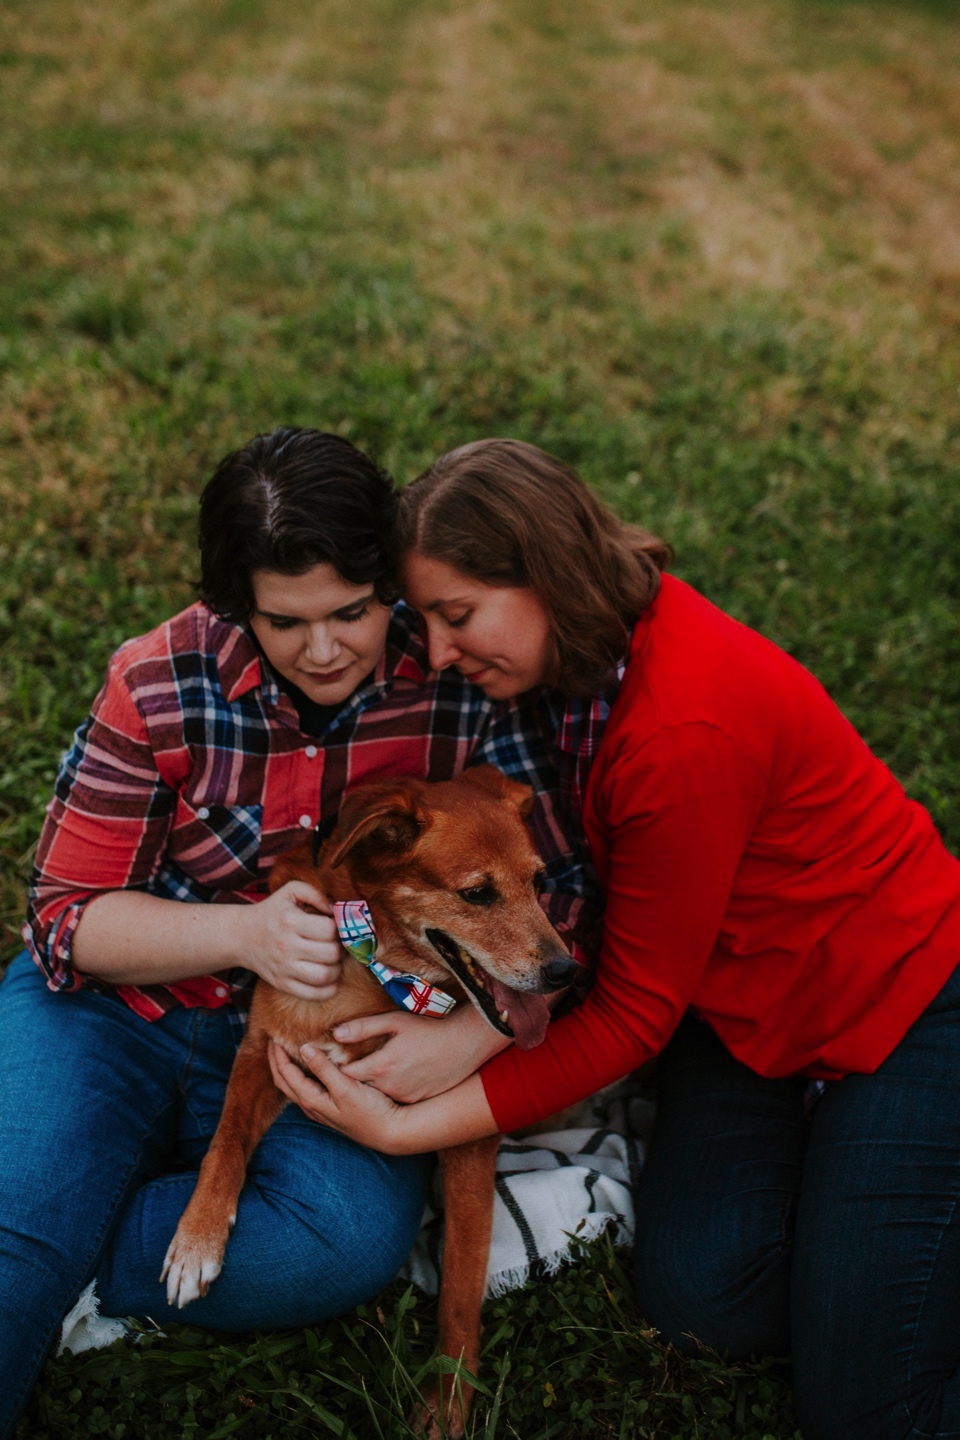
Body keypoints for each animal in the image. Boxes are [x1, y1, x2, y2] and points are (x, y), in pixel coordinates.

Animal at [163, 766, 578, 1428]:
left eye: (539, 883)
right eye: (477, 894)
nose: (567, 972)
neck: (380, 973)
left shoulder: (468, 1139)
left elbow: (462, 1284)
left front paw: (448, 1398)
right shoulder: (262, 1052)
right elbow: (223, 1142)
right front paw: (195, 1241)